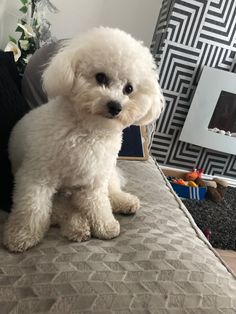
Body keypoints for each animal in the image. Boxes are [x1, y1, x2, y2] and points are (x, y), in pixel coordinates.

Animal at [3, 27, 164, 253]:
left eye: (129, 89)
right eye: (101, 77)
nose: (115, 106)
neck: (88, 131)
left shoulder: (94, 181)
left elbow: (100, 204)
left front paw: (105, 226)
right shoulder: (36, 177)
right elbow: (32, 208)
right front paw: (21, 235)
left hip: (106, 174)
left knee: (110, 191)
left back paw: (123, 203)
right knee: (61, 210)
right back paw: (77, 226)